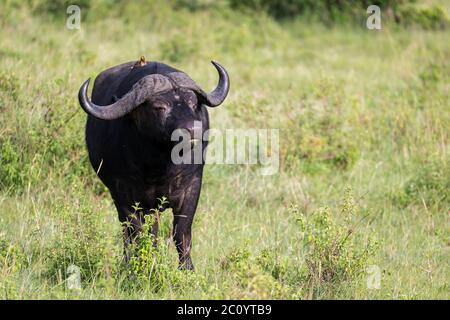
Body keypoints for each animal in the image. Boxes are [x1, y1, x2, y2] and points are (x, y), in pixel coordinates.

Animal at [77, 57, 229, 270]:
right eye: (159, 107)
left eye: (193, 103)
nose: (194, 130)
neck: (158, 167)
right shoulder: (124, 195)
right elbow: (138, 233)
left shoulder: (192, 187)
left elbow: (182, 233)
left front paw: (187, 269)